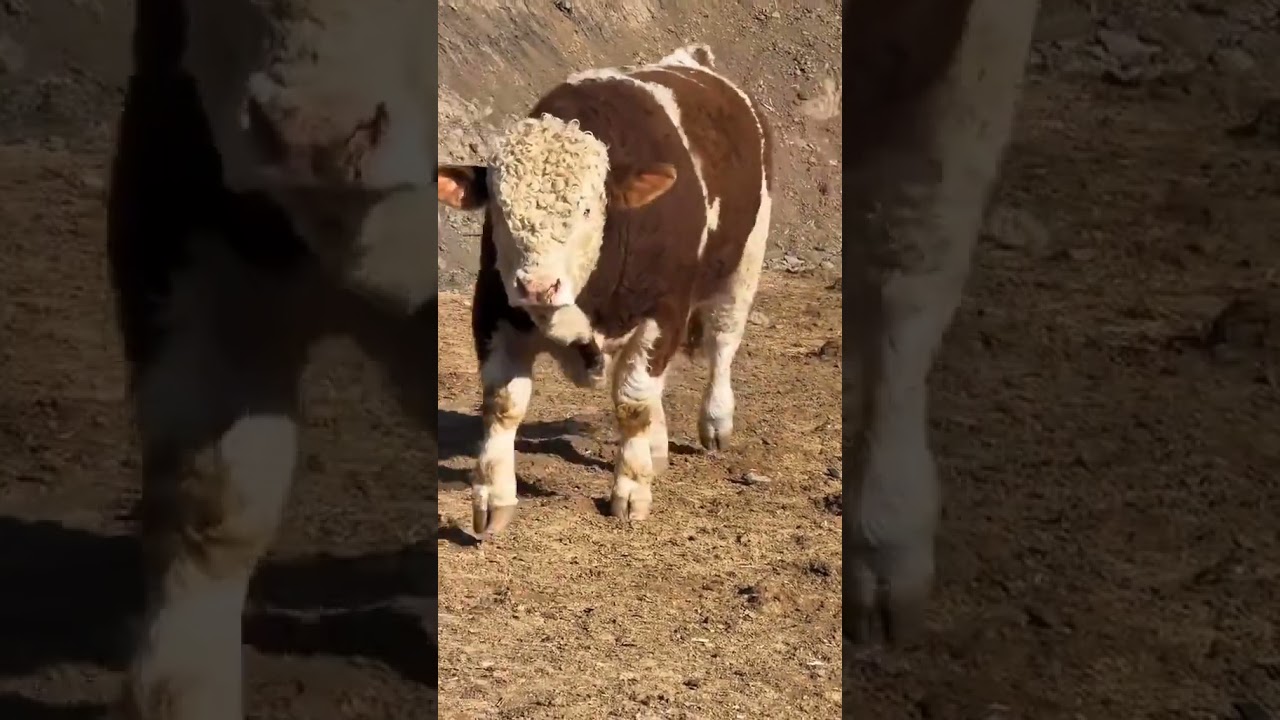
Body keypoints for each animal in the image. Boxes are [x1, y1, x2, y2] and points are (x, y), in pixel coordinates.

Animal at [436, 43, 773, 537]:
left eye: (588, 209)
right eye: (498, 207)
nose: (537, 286)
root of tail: (694, 59)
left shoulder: (663, 310)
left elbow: (633, 402)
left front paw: (630, 491)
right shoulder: (493, 311)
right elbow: (503, 405)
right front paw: (493, 499)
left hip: (744, 263)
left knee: (722, 344)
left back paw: (715, 421)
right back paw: (656, 447)